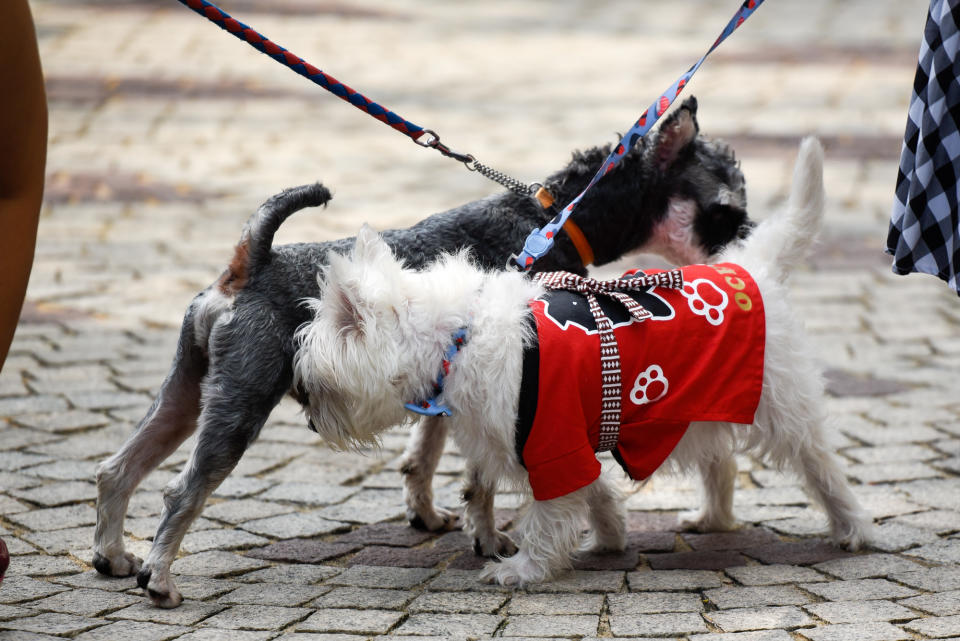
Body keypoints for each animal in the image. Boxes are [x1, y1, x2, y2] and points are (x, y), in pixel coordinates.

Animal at [90, 96, 752, 604]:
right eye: (726, 211)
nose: (744, 257)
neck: (556, 220)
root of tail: (249, 263)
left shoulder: (449, 378)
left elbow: (427, 455)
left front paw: (430, 516)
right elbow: (479, 478)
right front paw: (488, 540)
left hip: (185, 395)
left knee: (117, 468)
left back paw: (113, 556)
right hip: (239, 407)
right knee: (182, 490)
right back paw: (160, 580)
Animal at [296, 139, 872, 584]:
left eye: (317, 381)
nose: (310, 418)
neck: (459, 334)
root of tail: (748, 267)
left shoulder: (550, 436)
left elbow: (550, 511)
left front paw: (523, 569)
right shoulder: (558, 439)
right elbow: (594, 490)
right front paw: (612, 535)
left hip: (783, 406)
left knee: (822, 467)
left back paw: (854, 530)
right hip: (698, 405)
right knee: (722, 460)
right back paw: (713, 518)